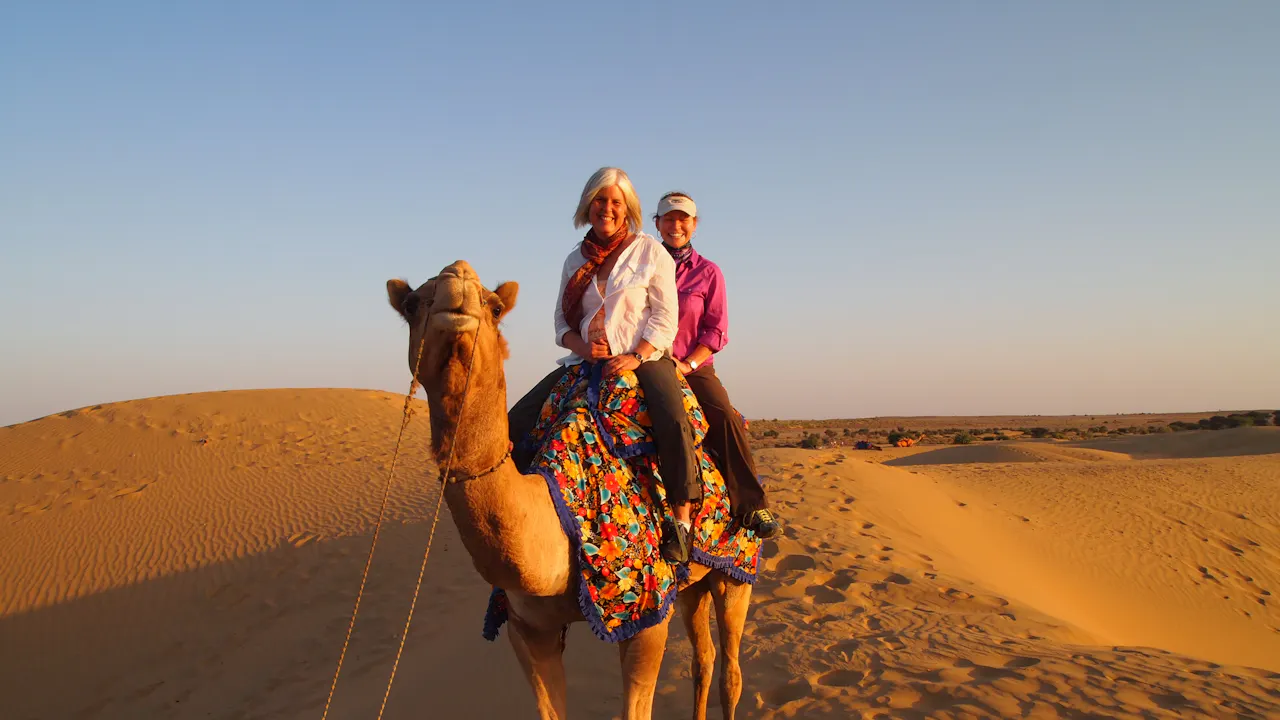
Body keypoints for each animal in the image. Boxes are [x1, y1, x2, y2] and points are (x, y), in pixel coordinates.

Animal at [386, 260, 753, 720]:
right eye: (413, 303)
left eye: (493, 305)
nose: (458, 280)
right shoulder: (528, 629)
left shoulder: (646, 613)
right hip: (693, 585)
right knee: (703, 658)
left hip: (736, 570)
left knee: (731, 670)